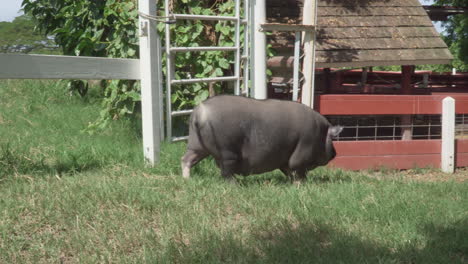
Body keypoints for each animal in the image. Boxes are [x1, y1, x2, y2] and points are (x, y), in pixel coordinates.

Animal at [181, 95, 342, 182]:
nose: (335, 153)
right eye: (332, 140)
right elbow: (298, 171)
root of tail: (200, 112)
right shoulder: (302, 153)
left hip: (197, 146)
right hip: (226, 151)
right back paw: (236, 184)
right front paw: (301, 185)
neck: (321, 133)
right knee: (226, 173)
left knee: (186, 159)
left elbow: (288, 171)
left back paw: (187, 179)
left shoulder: (284, 159)